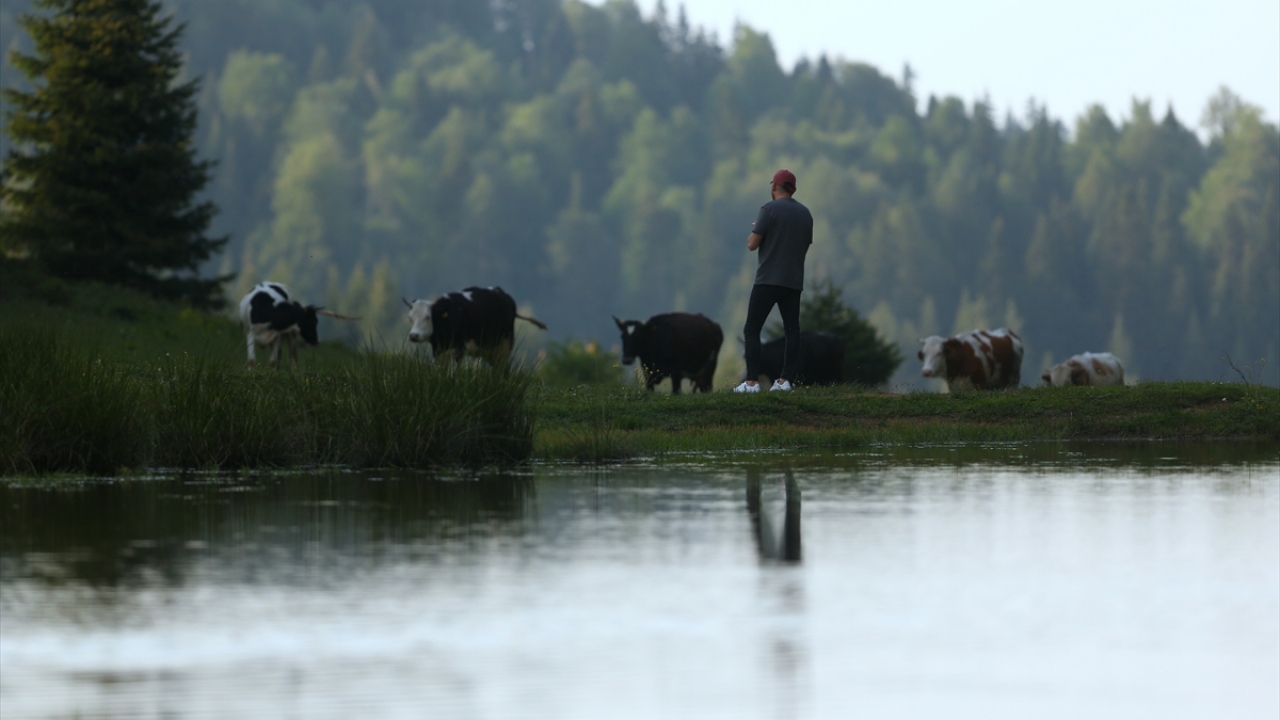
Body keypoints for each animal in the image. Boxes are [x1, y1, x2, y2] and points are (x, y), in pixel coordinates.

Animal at [404, 286, 547, 364]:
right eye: (410, 318)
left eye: (427, 317)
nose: (413, 335)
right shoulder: (438, 351)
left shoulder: (459, 350)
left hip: (504, 346)